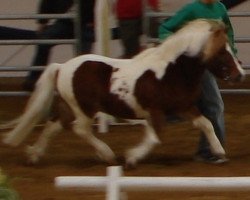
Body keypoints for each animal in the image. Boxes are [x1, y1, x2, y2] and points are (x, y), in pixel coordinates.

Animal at [1, 18, 244, 166]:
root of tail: (62, 67)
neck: (172, 71)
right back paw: (107, 154)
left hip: (68, 106)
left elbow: (206, 123)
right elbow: (155, 136)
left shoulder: (184, 107)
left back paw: (34, 156)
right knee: (80, 129)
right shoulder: (155, 111)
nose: (240, 74)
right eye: (222, 51)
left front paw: (219, 152)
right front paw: (132, 157)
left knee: (52, 127)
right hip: (84, 109)